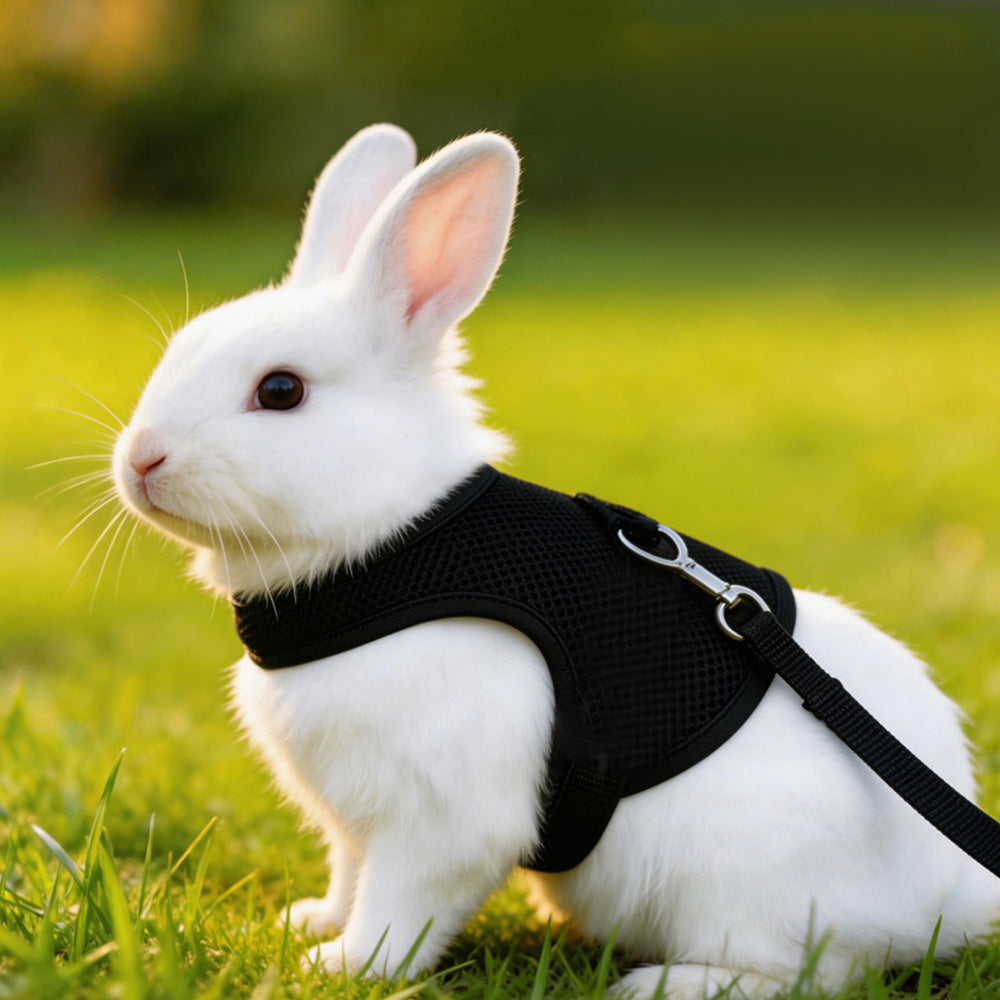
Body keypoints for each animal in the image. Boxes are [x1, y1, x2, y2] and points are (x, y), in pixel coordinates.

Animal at [112, 123, 1000, 1000]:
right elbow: (349, 873)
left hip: (753, 885)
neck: (391, 543)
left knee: (811, 971)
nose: (141, 460)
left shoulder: (439, 817)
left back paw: (662, 983)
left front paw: (343, 967)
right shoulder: (353, 817)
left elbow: (403, 902)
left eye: (281, 391)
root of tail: (946, 901)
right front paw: (311, 925)